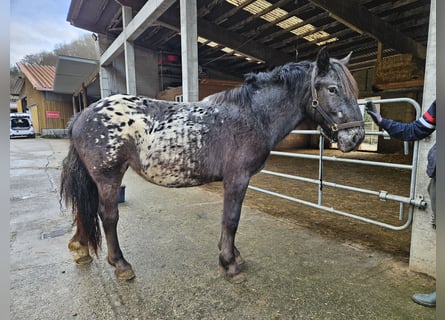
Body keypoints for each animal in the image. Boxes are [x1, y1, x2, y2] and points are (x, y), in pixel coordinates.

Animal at [59, 47, 364, 280]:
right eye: (333, 89)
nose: (356, 137)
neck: (252, 115)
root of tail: (83, 114)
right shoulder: (237, 178)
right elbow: (231, 219)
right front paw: (229, 264)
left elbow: (229, 221)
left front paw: (232, 255)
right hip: (108, 177)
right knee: (107, 216)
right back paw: (121, 265)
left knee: (85, 210)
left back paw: (80, 249)